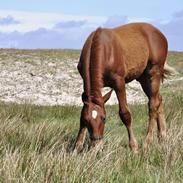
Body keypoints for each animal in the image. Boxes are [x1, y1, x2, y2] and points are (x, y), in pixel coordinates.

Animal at [74, 22, 174, 152]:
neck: (104, 50)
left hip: (153, 73)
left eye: (104, 118)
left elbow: (125, 114)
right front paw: (77, 146)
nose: (96, 145)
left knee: (153, 105)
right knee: (158, 99)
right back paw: (163, 136)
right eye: (87, 120)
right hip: (143, 78)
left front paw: (134, 146)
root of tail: (160, 34)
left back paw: (147, 142)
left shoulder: (119, 82)